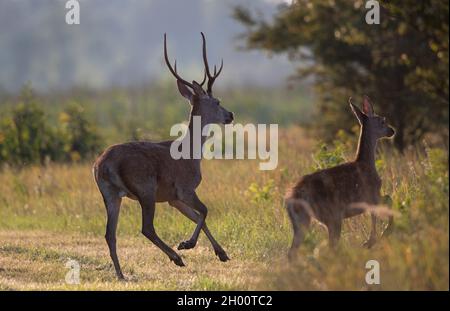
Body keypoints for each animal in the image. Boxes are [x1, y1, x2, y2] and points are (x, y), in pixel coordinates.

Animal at [91, 33, 232, 280]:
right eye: (217, 102)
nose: (230, 115)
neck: (192, 153)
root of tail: (102, 165)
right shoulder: (185, 188)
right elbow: (205, 211)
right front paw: (187, 244)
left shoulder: (172, 198)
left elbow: (197, 216)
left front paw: (222, 253)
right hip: (145, 188)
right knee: (146, 228)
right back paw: (176, 258)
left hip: (110, 193)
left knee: (110, 233)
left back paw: (120, 274)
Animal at [286, 97, 396, 258]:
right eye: (383, 120)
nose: (392, 130)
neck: (366, 163)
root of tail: (291, 198)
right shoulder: (371, 194)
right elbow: (387, 201)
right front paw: (373, 240)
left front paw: (372, 240)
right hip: (331, 216)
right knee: (330, 246)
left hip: (303, 220)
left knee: (293, 250)